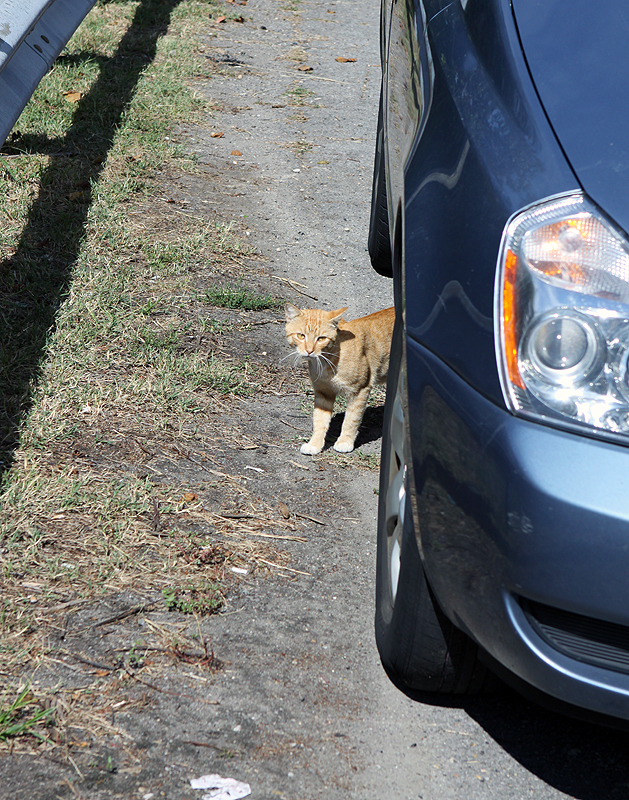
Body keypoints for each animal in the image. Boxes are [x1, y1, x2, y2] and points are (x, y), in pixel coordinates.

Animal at [284, 304, 392, 454]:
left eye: (321, 338)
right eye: (301, 336)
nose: (309, 351)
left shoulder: (360, 391)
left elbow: (351, 419)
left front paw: (345, 441)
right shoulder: (323, 392)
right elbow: (319, 421)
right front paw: (315, 444)